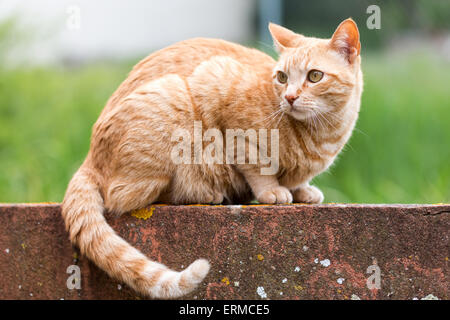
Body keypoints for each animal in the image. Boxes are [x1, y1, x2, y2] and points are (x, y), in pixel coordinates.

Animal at [60, 18, 362, 298]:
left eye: (314, 76)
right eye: (282, 77)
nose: (289, 97)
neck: (322, 133)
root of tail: (89, 158)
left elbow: (296, 181)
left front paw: (302, 191)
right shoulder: (224, 99)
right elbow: (258, 166)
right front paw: (273, 191)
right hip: (172, 107)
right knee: (125, 196)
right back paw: (205, 194)